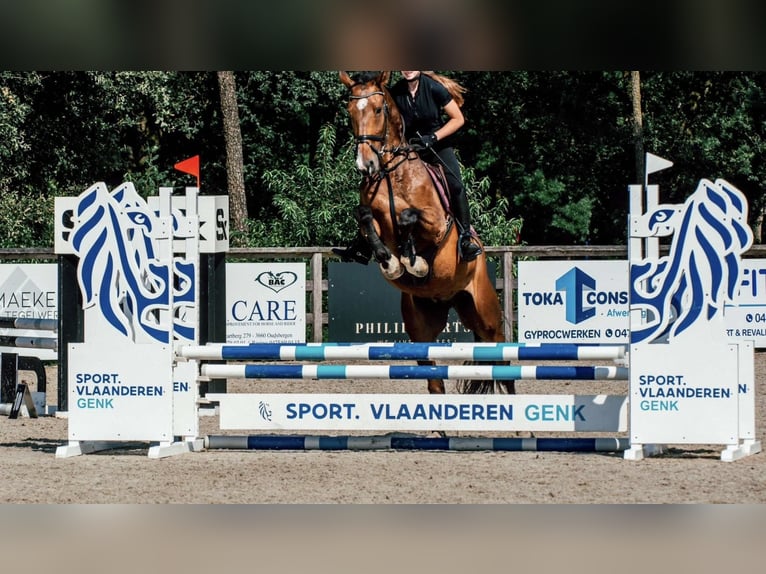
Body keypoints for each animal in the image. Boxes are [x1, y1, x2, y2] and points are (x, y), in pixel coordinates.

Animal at [339, 70, 514, 395]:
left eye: (378, 110)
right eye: (350, 112)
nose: (365, 165)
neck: (392, 173)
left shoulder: (437, 225)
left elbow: (409, 217)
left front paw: (411, 260)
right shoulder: (374, 217)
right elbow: (365, 217)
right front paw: (391, 261)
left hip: (486, 315)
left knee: (503, 363)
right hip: (422, 327)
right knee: (435, 381)